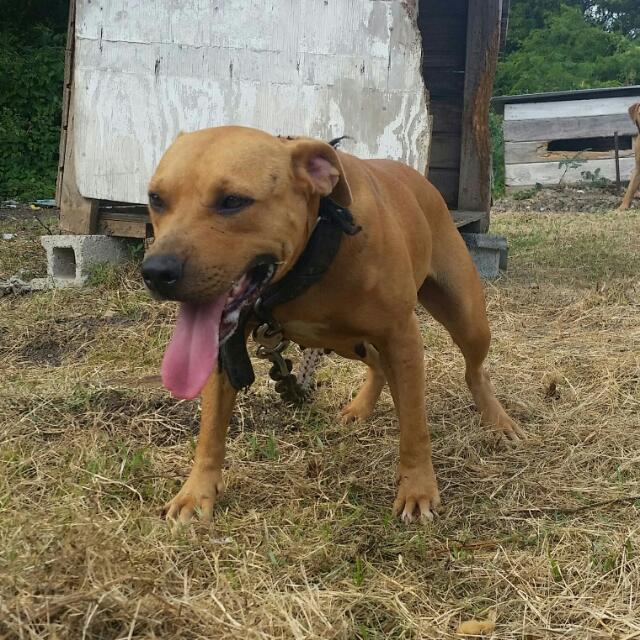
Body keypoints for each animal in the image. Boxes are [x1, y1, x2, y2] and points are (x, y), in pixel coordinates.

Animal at [142, 126, 523, 525]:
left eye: (232, 201)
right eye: (156, 199)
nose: (156, 272)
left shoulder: (402, 337)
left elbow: (415, 426)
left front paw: (417, 488)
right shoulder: (222, 349)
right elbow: (211, 430)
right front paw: (195, 493)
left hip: (467, 319)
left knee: (474, 371)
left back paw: (499, 422)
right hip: (348, 342)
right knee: (378, 366)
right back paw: (361, 407)